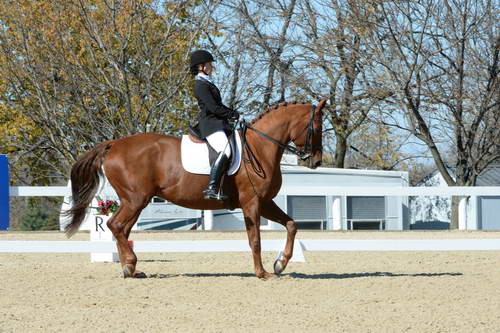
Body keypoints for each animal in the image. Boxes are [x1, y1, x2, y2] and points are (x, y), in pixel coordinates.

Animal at [64, 98, 326, 278]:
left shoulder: (265, 202)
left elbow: (291, 225)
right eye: (317, 128)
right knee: (115, 225)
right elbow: (255, 240)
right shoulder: (251, 202)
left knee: (122, 229)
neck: (260, 147)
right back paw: (130, 265)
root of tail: (114, 144)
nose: (316, 161)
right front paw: (263, 273)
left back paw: (131, 269)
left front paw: (280, 263)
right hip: (135, 199)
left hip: (135, 201)